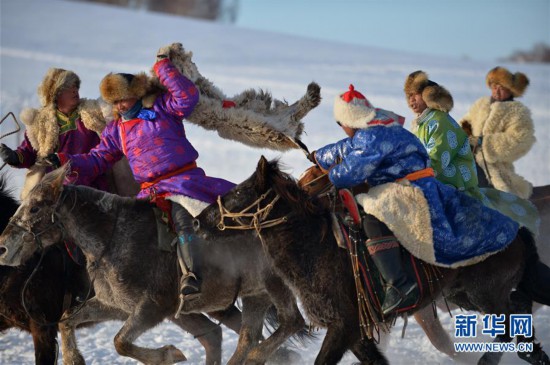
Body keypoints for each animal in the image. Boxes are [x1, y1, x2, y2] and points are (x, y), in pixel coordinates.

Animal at [215, 157, 548, 364]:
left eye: (241, 192)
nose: (206, 217)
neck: (318, 246)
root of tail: (518, 230)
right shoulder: (354, 334)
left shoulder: (344, 326)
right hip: (463, 294)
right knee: (519, 307)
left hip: (485, 294)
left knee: (510, 324)